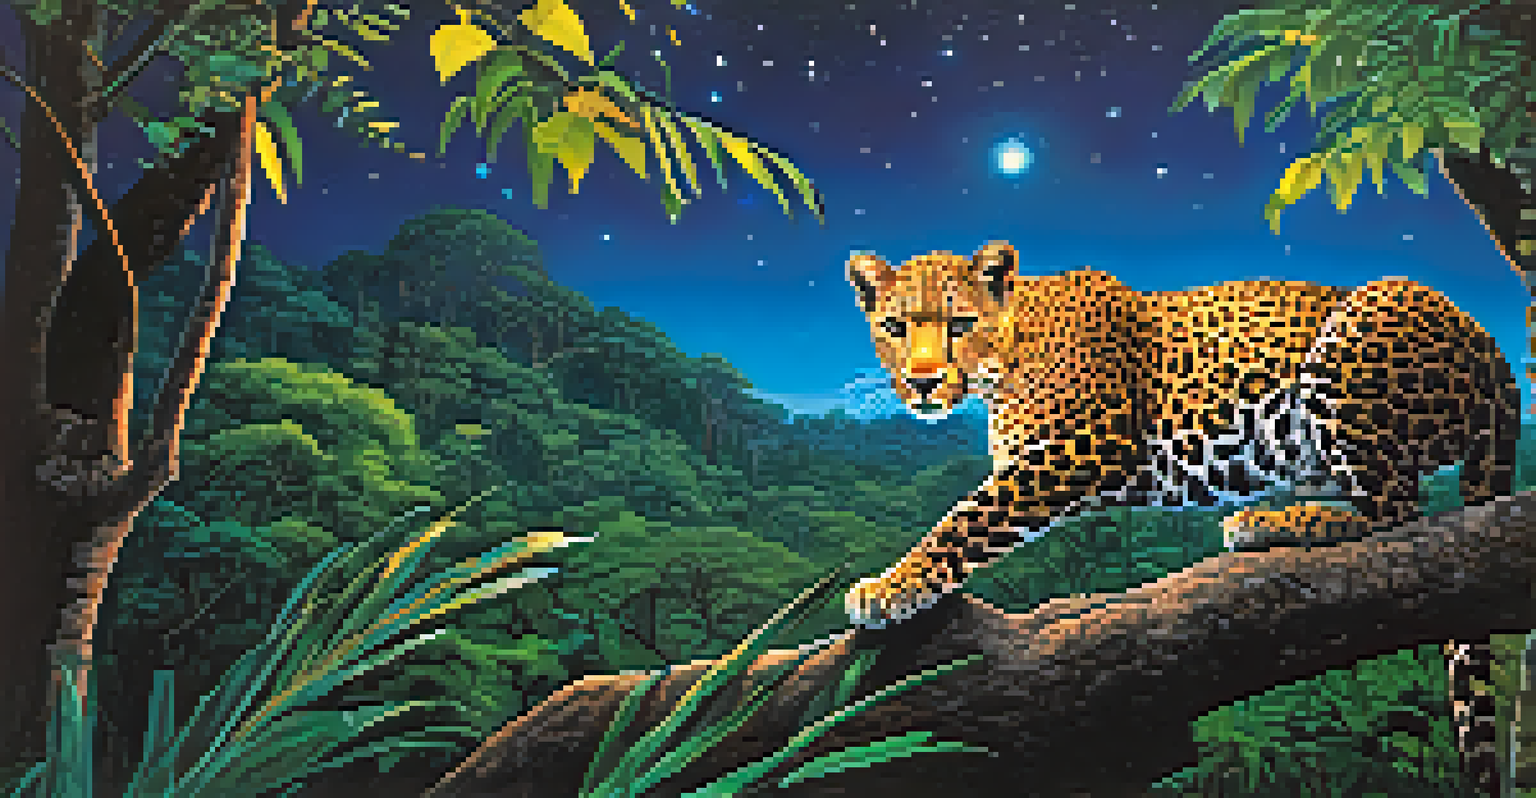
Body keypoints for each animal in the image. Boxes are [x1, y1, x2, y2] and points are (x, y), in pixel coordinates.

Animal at [844, 240, 1520, 788]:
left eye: (960, 324)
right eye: (894, 326)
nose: (923, 381)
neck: (1008, 356)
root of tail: (1491, 347)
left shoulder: (1082, 449)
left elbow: (966, 519)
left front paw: (891, 587)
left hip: (1356, 336)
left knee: (1398, 511)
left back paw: (1280, 524)